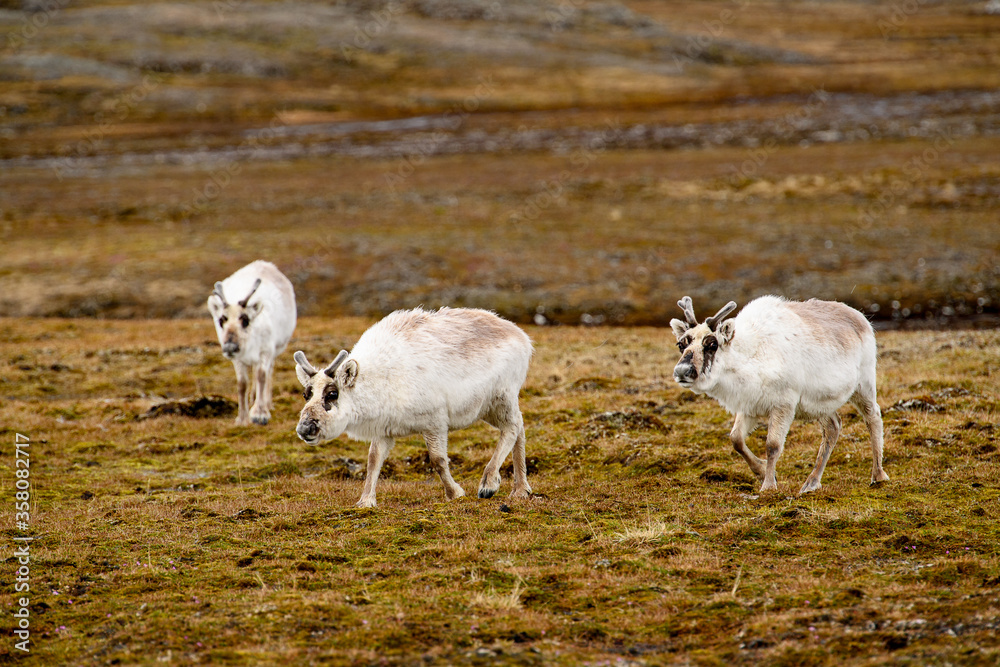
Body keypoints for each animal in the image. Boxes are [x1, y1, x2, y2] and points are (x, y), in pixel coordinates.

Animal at [207, 260, 296, 426]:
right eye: (221, 320)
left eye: (245, 320)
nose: (229, 347)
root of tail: (265, 264)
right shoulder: (237, 358)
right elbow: (242, 384)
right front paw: (242, 418)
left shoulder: (266, 351)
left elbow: (262, 376)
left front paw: (259, 414)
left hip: (276, 350)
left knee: (267, 373)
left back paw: (266, 403)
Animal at [293, 307, 533, 508]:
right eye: (306, 394)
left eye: (332, 394)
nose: (304, 429)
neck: (378, 379)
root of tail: (522, 337)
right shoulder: (384, 430)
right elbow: (373, 460)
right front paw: (365, 501)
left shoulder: (434, 421)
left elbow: (438, 460)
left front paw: (455, 493)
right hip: (488, 409)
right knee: (519, 427)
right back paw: (521, 489)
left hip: (501, 398)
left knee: (512, 428)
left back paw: (489, 484)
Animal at [670, 295, 889, 495]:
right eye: (681, 344)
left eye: (712, 344)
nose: (681, 371)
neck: (749, 357)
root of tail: (860, 317)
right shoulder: (749, 406)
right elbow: (736, 439)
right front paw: (761, 472)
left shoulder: (784, 404)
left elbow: (772, 445)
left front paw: (768, 485)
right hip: (818, 404)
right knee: (833, 426)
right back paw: (811, 483)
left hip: (864, 384)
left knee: (873, 417)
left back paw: (878, 475)